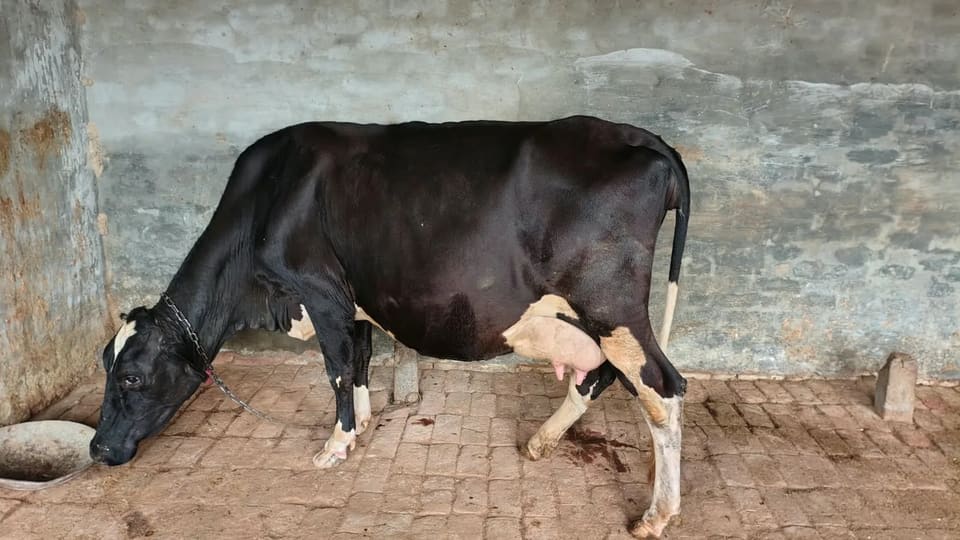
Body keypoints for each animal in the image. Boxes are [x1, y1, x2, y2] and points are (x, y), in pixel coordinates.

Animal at [90, 115, 690, 538]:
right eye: (105, 365)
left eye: (131, 377)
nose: (97, 449)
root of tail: (639, 136)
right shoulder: (353, 300)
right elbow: (357, 359)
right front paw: (361, 420)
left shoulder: (321, 290)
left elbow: (335, 368)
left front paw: (336, 445)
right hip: (594, 317)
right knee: (604, 376)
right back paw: (542, 441)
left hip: (612, 305)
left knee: (662, 387)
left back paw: (654, 517)